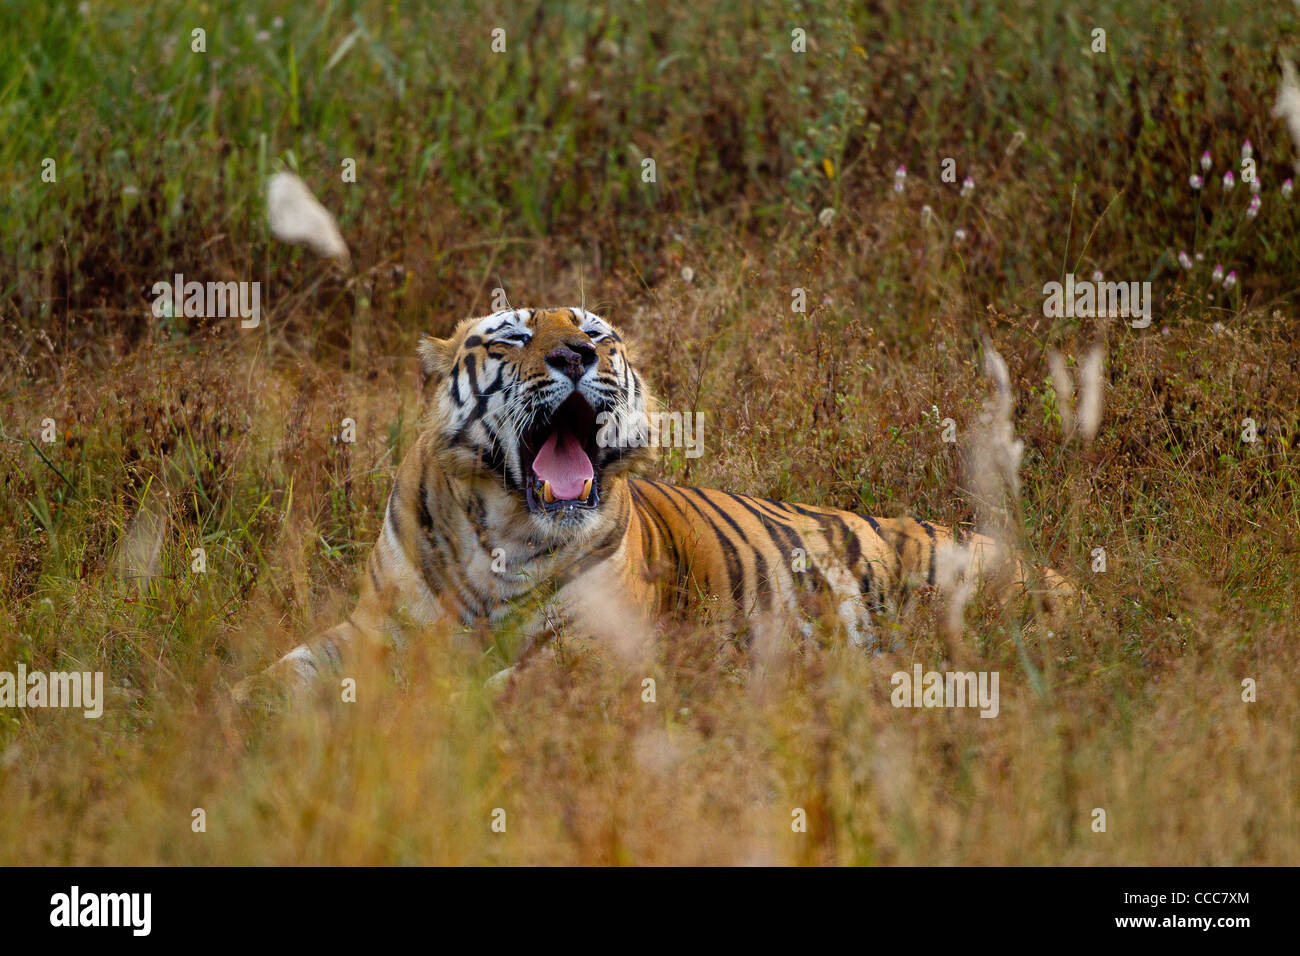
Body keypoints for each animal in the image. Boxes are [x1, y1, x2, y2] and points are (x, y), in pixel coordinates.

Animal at [233, 306, 1066, 702]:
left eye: (596, 333)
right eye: (511, 338)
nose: (577, 357)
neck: (500, 528)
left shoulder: (600, 643)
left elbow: (509, 685)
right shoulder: (374, 625)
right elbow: (287, 669)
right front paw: (234, 706)